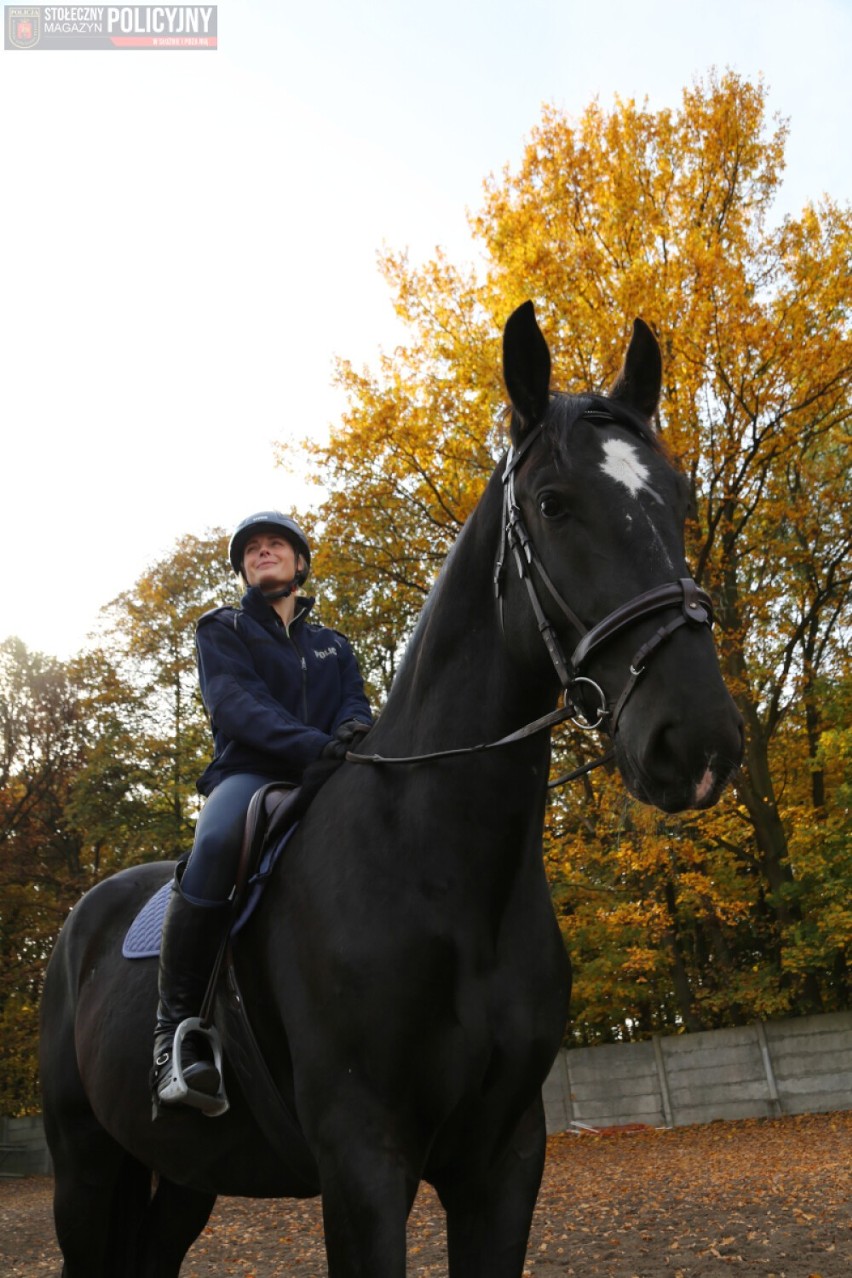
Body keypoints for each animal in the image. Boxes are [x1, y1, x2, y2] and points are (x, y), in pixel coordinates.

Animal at [43, 301, 740, 1278]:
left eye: (676, 498)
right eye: (553, 504)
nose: (699, 740)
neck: (440, 871)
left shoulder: (504, 1158)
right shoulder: (362, 1162)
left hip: (184, 1176)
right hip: (84, 1163)